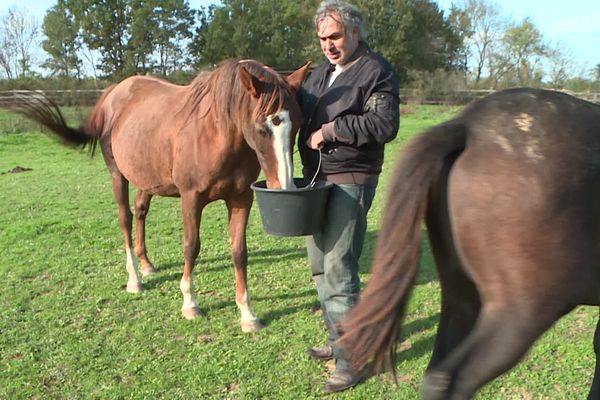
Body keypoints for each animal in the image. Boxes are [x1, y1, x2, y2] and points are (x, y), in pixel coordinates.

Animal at [15, 58, 310, 332]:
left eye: (297, 125)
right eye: (262, 128)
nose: (282, 186)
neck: (216, 133)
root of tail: (113, 94)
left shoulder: (240, 200)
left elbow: (239, 252)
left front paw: (248, 314)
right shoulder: (191, 199)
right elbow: (191, 246)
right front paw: (190, 304)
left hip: (146, 177)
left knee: (140, 210)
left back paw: (146, 264)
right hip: (117, 175)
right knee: (125, 218)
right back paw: (135, 279)